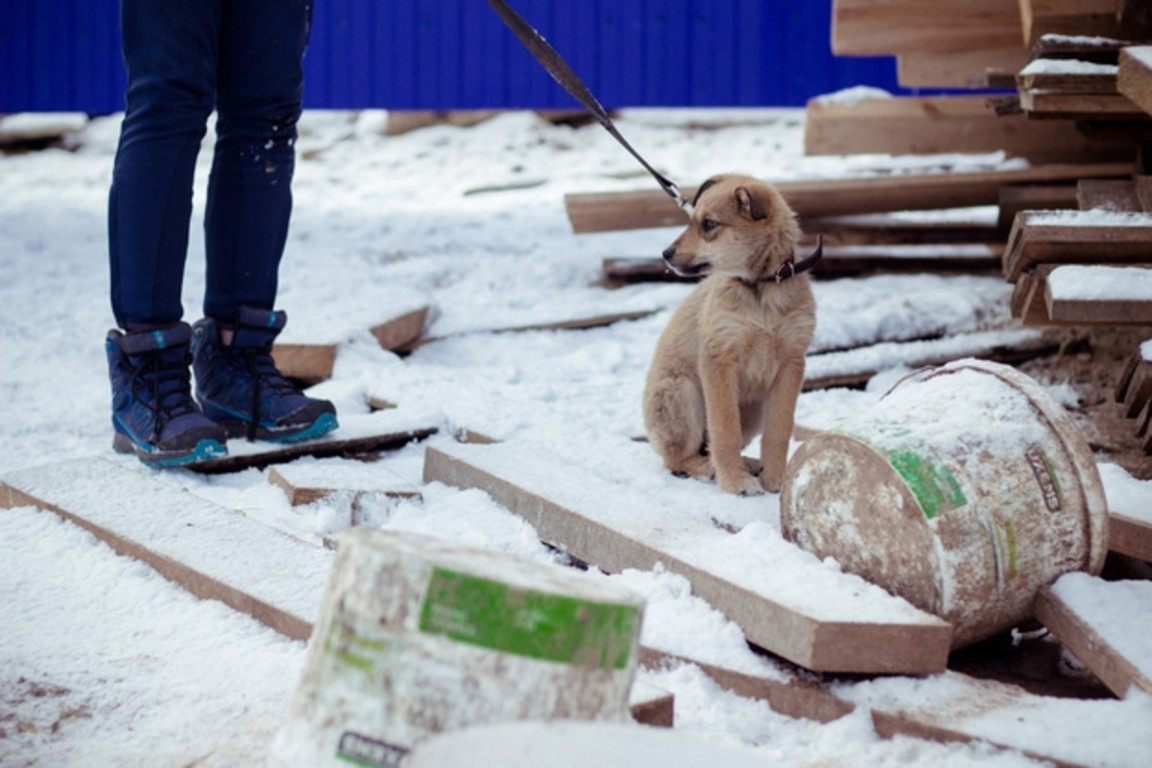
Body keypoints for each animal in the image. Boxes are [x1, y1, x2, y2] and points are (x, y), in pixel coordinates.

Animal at [640, 173, 820, 495]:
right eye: (692, 221)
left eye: (709, 224)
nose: (665, 255)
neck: (760, 287)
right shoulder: (719, 359)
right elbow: (725, 431)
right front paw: (735, 483)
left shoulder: (791, 364)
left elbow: (780, 429)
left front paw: (777, 478)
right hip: (681, 392)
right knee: (677, 458)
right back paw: (708, 468)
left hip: (754, 409)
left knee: (707, 446)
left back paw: (748, 463)